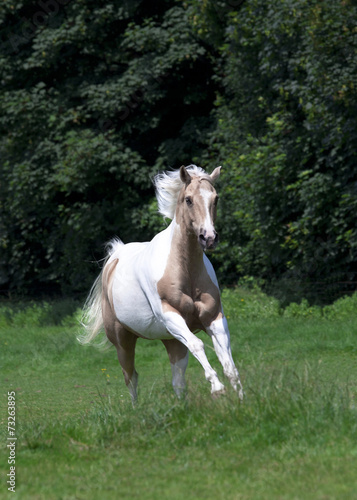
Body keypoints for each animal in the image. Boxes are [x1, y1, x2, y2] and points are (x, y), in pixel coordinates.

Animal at [79, 166, 243, 400]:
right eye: (188, 199)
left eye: (216, 198)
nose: (209, 238)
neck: (185, 270)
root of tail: (115, 256)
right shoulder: (170, 315)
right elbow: (198, 344)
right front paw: (217, 387)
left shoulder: (213, 318)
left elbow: (226, 357)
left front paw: (240, 397)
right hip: (123, 341)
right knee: (131, 377)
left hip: (172, 341)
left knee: (178, 383)